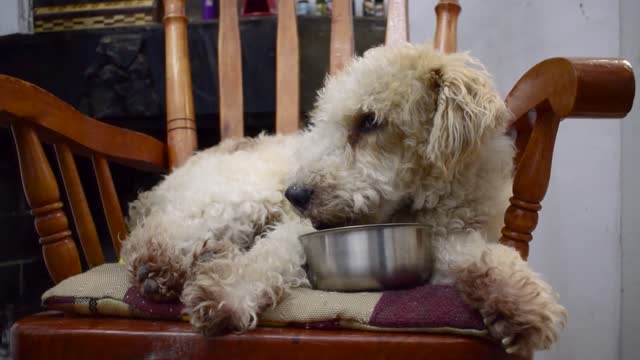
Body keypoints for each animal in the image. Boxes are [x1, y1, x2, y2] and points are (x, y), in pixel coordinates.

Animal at [122, 44, 568, 354]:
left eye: (369, 121)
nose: (296, 194)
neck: (420, 206)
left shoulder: (452, 235)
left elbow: (485, 256)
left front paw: (521, 304)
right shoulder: (299, 229)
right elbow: (270, 257)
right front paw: (226, 293)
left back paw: (206, 256)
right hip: (241, 196)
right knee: (161, 232)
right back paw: (159, 267)